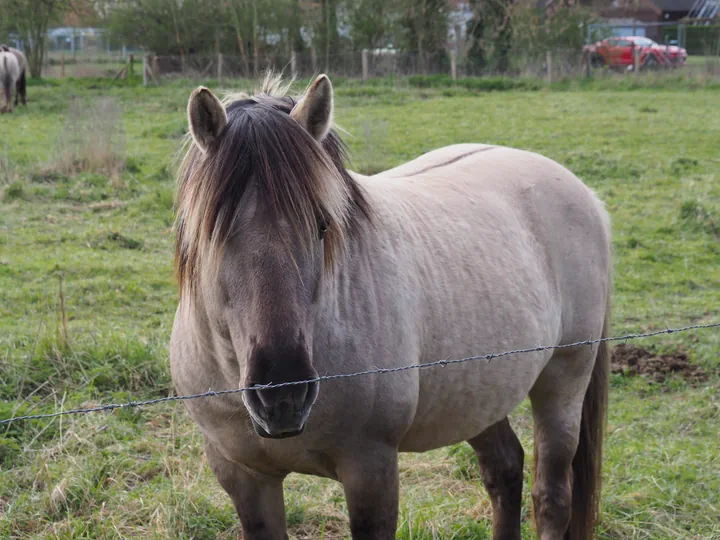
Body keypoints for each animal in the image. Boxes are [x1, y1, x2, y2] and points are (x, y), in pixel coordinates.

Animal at [172, 73, 612, 540]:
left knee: (551, 498)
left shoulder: (371, 470)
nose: (283, 394)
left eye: (322, 225)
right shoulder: (243, 476)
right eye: (211, 231)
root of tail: (586, 195)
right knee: (505, 470)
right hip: (480, 392)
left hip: (564, 380)